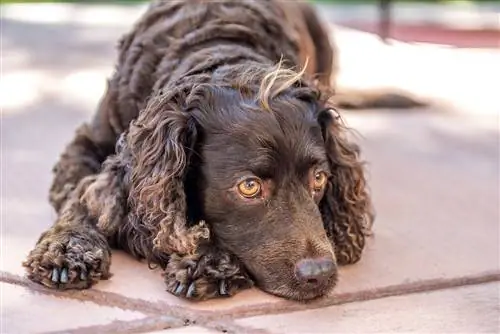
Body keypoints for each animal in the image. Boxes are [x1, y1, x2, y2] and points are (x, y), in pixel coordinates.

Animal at [20, 0, 382, 302]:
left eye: (319, 178)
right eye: (249, 186)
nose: (320, 274)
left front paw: (209, 260)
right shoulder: (86, 146)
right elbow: (82, 196)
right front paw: (68, 248)